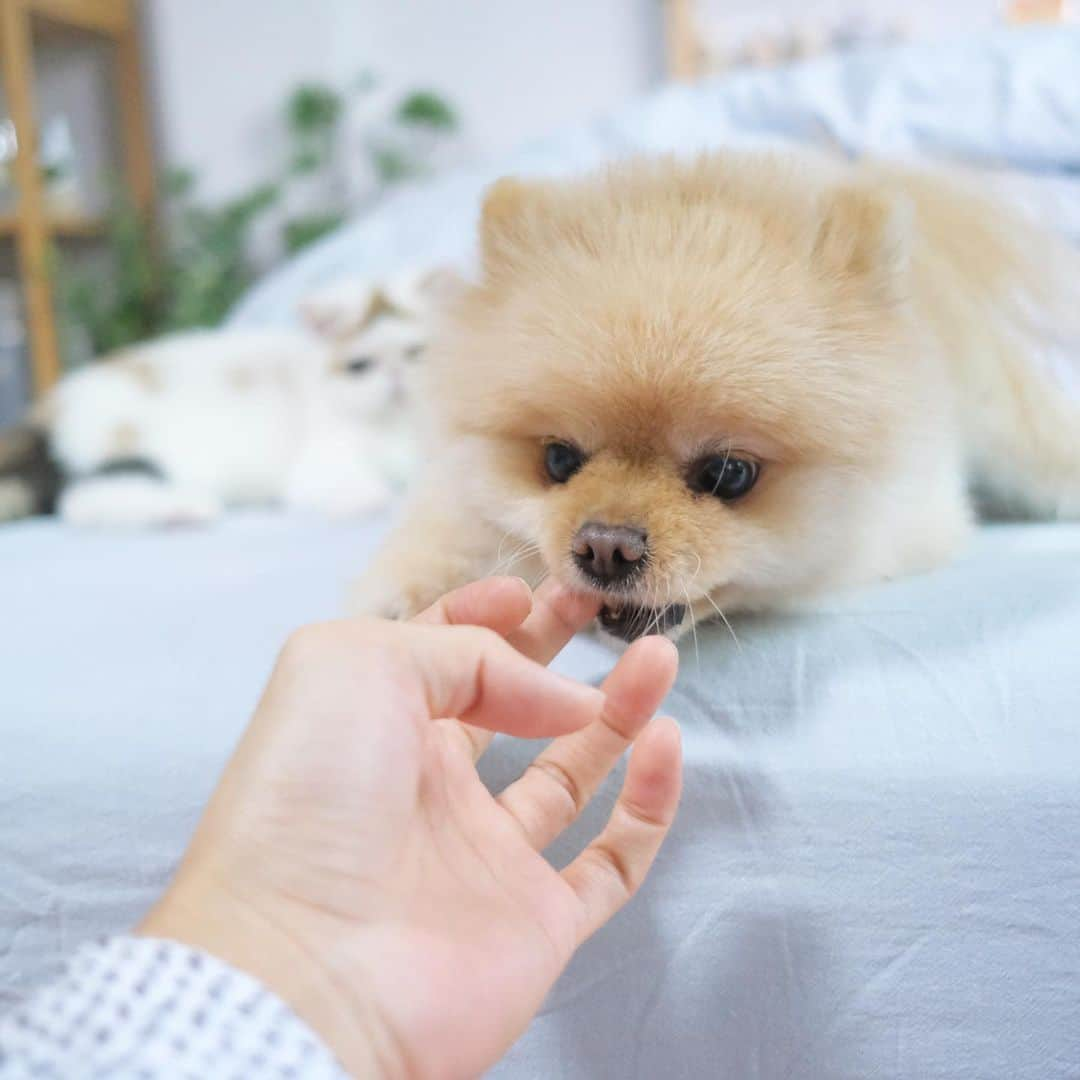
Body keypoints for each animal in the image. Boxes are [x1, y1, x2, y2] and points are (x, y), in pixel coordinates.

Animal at [49, 265, 455, 527]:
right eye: (360, 365)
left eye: (416, 352)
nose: (398, 379)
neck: (399, 427)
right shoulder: (318, 460)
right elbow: (351, 485)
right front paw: (377, 499)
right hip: (129, 444)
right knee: (81, 497)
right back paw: (185, 508)